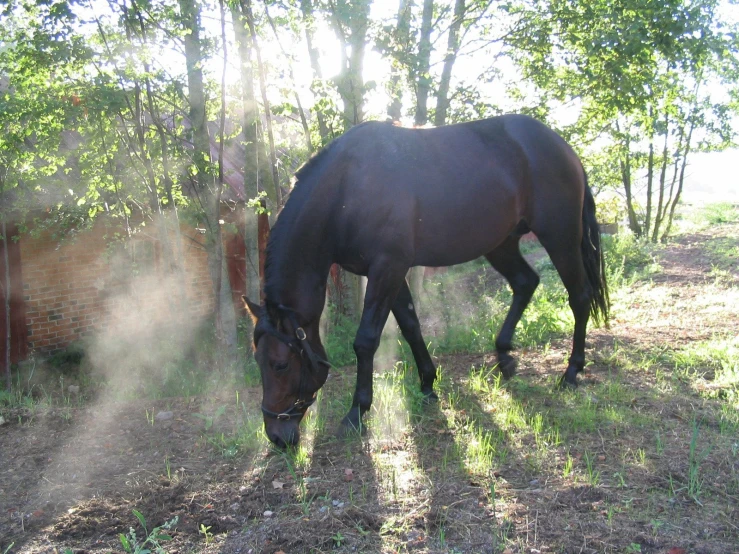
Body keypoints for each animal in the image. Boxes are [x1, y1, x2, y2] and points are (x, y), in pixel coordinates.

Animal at [243, 114, 608, 446]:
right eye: (258, 361)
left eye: (279, 365)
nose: (276, 436)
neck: (346, 187)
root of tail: (563, 148)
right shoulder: (388, 271)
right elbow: (411, 326)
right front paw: (428, 385)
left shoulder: (387, 267)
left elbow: (366, 341)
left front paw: (357, 412)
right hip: (500, 244)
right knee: (525, 282)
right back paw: (504, 355)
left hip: (560, 237)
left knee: (579, 296)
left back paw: (572, 371)